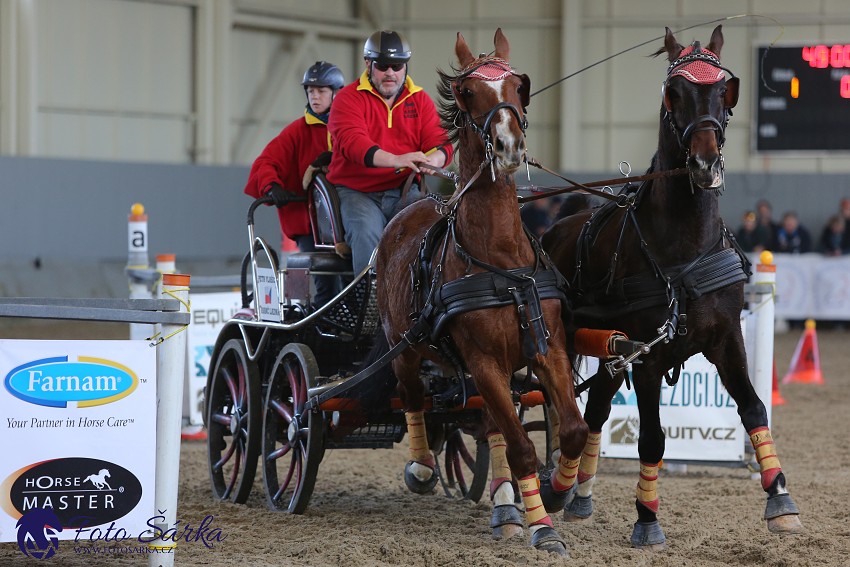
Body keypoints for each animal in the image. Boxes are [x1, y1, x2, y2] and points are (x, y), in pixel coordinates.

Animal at [374, 28, 588, 556]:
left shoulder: (546, 350)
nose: (509, 144)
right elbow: (523, 448)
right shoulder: (483, 361)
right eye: (468, 91)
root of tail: (414, 205)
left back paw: (507, 507)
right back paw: (423, 468)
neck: (503, 262)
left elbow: (571, 429)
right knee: (413, 394)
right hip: (403, 346)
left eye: (519, 85)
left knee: (491, 423)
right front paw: (544, 528)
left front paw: (555, 492)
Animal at [540, 25, 800, 552]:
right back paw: (557, 486)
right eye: (673, 92)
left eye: (725, 90)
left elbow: (753, 407)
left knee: (594, 408)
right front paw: (646, 517)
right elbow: (653, 438)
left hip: (610, 349)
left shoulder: (725, 338)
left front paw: (780, 497)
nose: (704, 162)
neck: (684, 250)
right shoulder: (648, 354)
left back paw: (578, 493)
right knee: (565, 407)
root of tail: (558, 225)